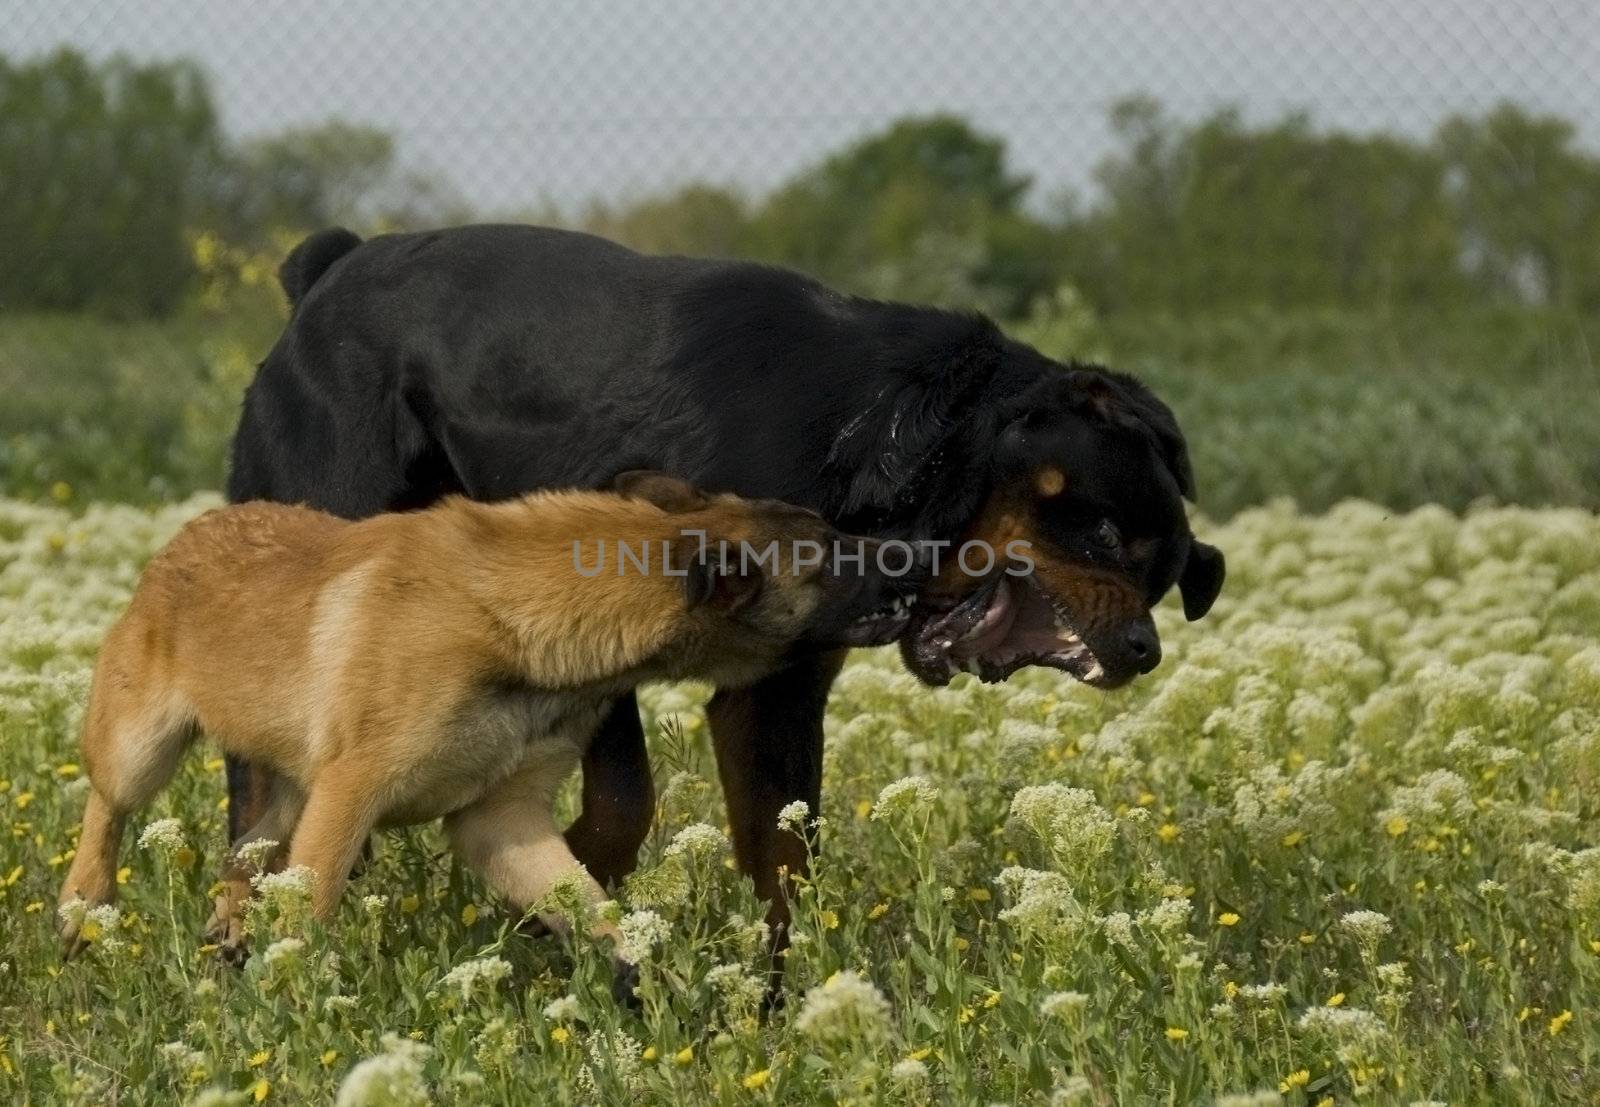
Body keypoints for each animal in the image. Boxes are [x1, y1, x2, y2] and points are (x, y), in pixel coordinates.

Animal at [59, 473, 915, 985]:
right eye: (829, 555)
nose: (914, 555)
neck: (515, 622)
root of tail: (187, 534)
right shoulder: (351, 794)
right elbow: (315, 905)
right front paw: (298, 1001)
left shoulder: (499, 821)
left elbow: (597, 908)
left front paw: (658, 988)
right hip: (143, 750)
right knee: (108, 815)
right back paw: (80, 915)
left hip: (290, 794)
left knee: (243, 854)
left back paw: (228, 933)